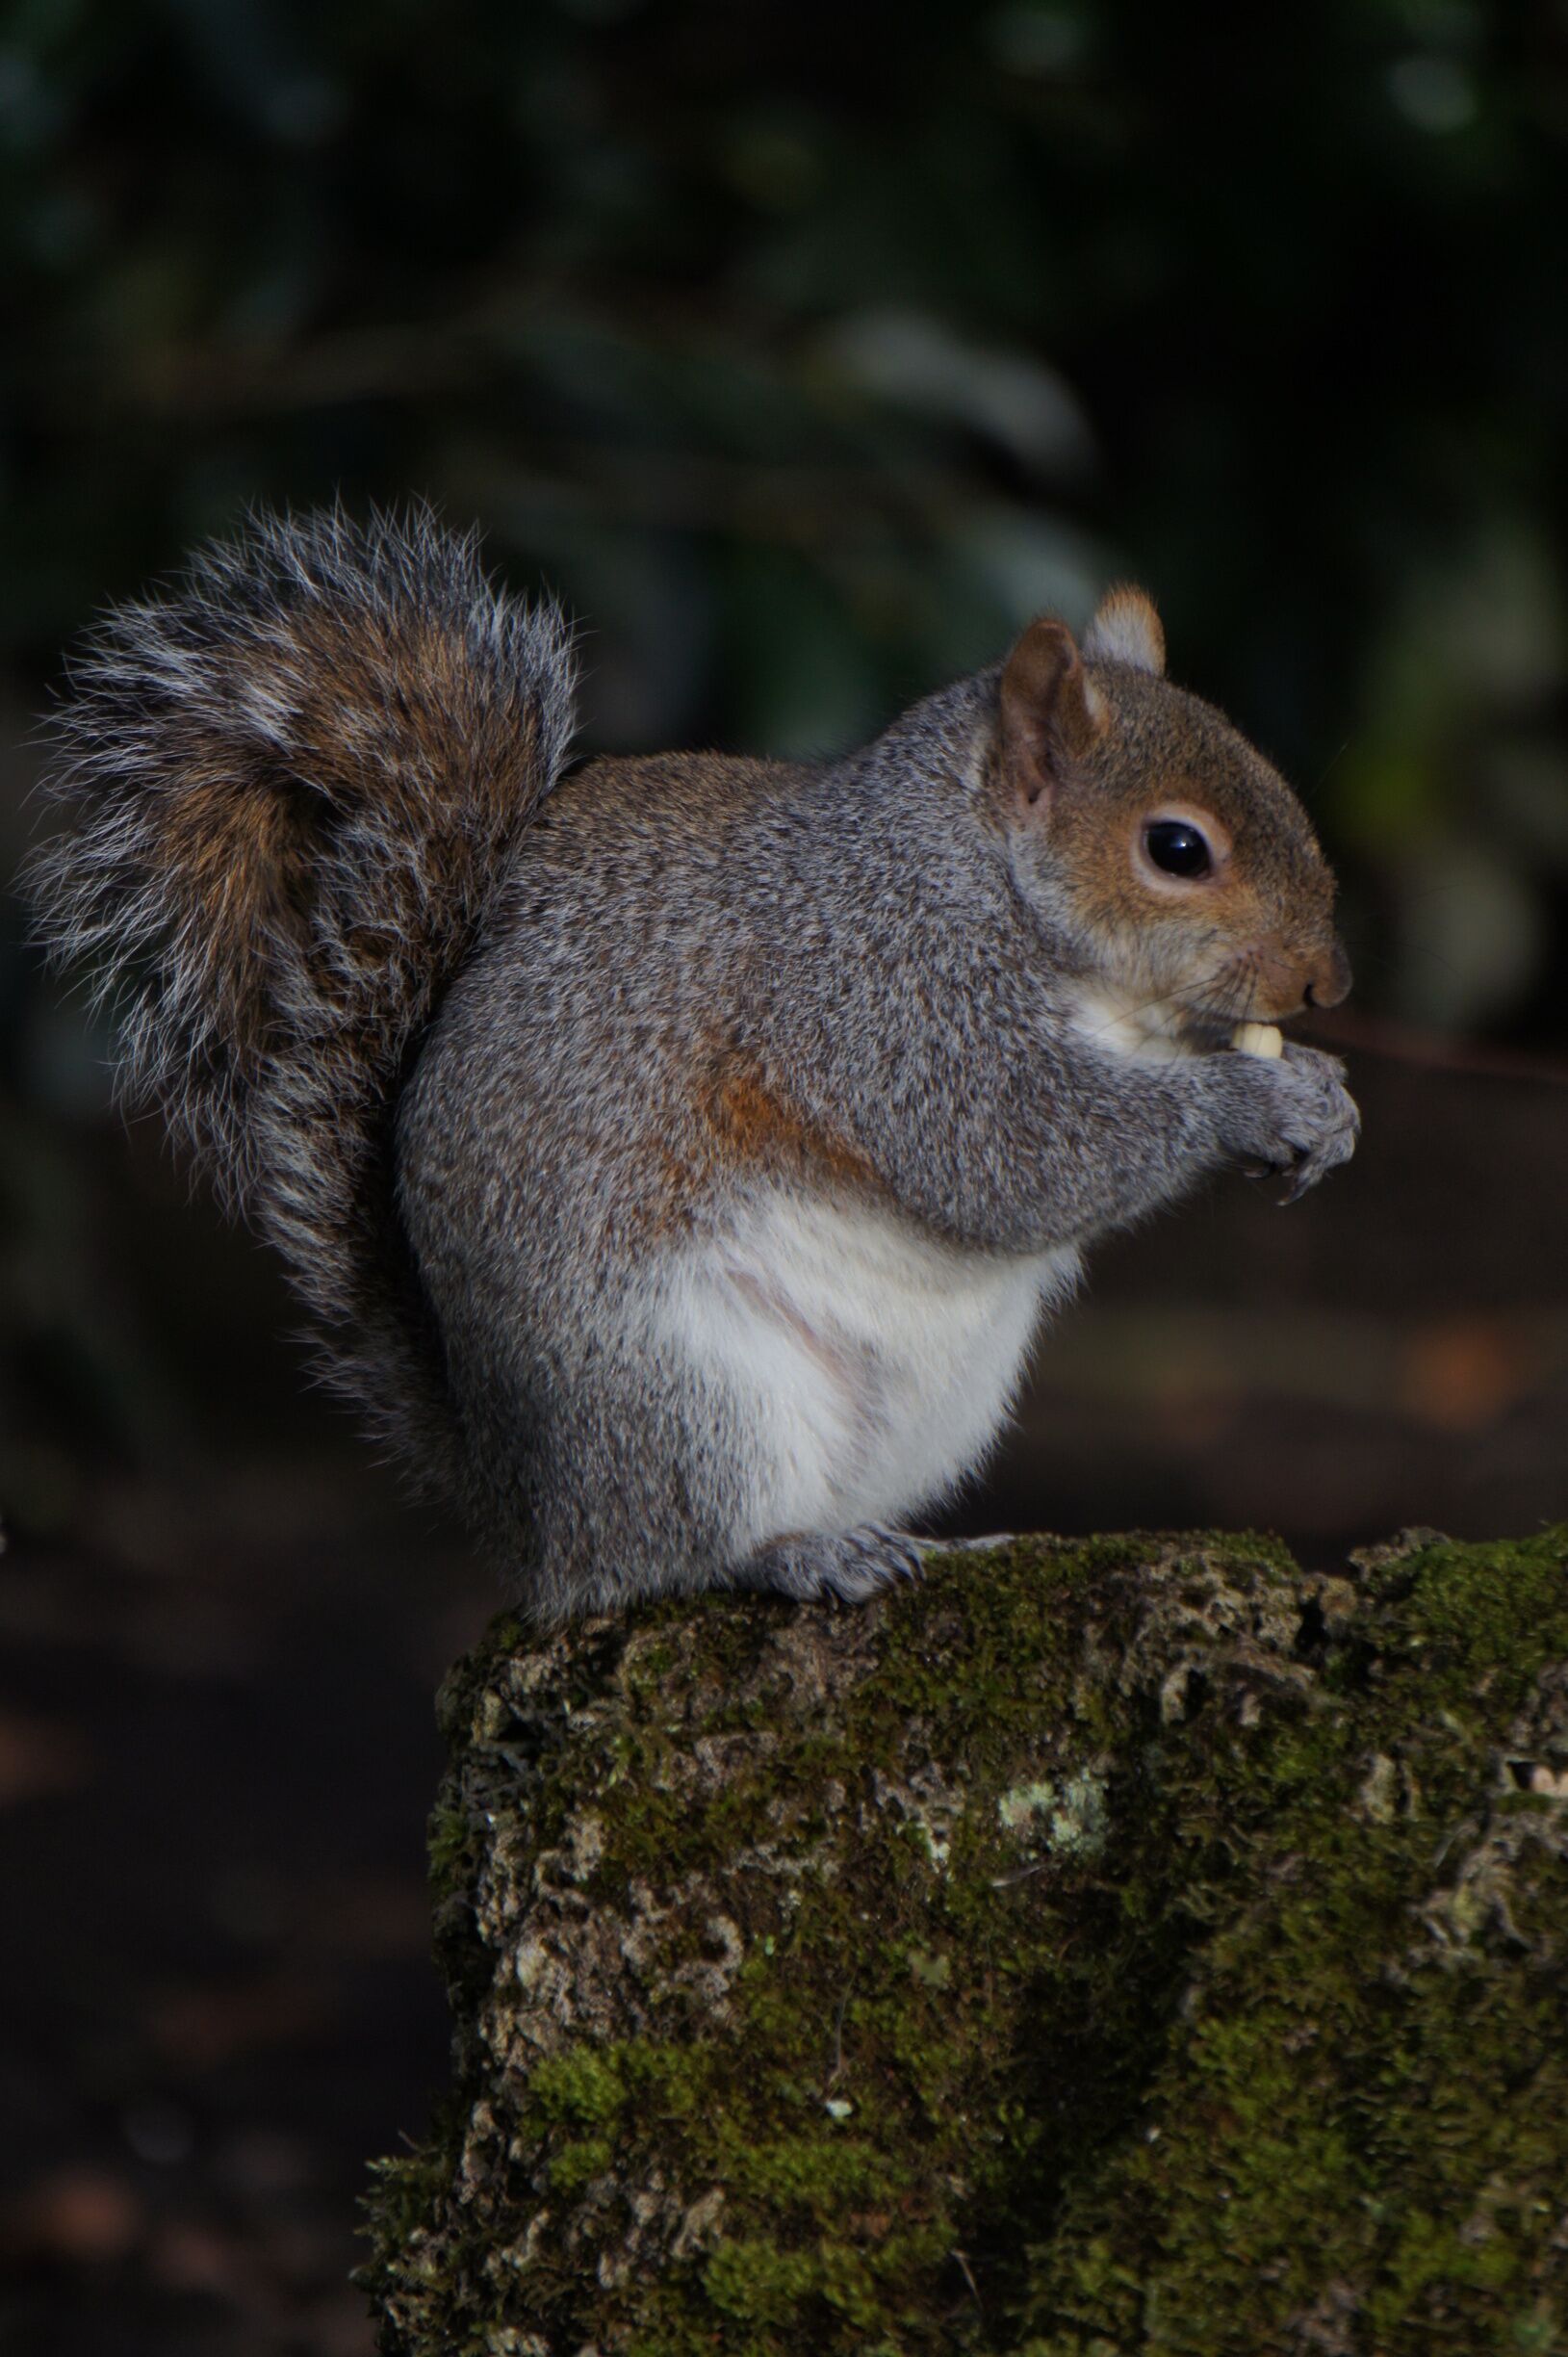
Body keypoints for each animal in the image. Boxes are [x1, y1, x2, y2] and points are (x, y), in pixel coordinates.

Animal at [30, 505, 1358, 1622]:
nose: (1327, 984)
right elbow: (1005, 1149)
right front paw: (1252, 1098)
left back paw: (940, 1545)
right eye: (1176, 849)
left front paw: (1330, 1105)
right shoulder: (881, 993)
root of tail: (532, 1518)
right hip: (691, 1396)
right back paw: (797, 1554)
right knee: (673, 1558)